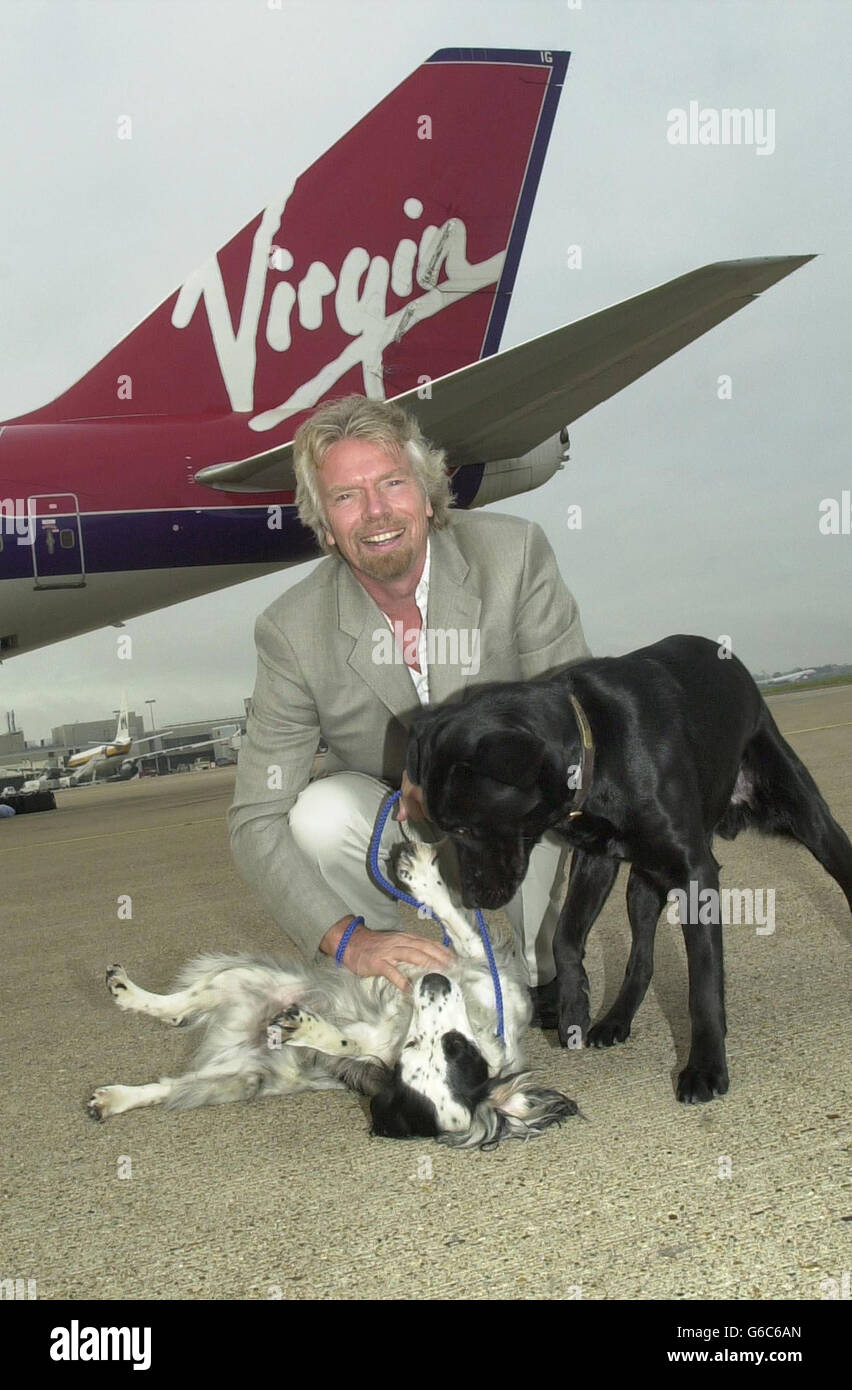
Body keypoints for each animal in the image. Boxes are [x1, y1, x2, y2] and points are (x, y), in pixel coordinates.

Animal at [403, 636, 850, 1100]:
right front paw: (573, 1006)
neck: (596, 749)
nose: (469, 898)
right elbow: (564, 937)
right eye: (442, 828)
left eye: (463, 827)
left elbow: (703, 979)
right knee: (642, 957)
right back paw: (615, 1019)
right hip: (643, 884)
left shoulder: (696, 872)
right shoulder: (596, 858)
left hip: (808, 816)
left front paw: (706, 1066)